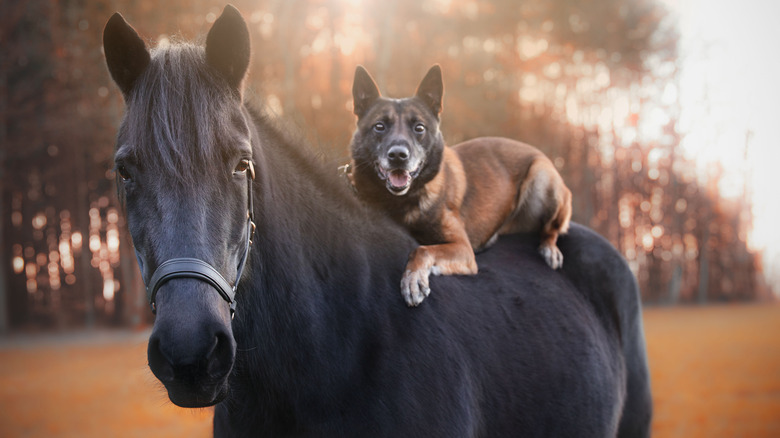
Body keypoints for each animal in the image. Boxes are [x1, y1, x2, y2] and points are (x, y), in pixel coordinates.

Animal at [348, 65, 572, 306]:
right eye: (379, 127)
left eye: (419, 128)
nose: (398, 155)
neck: (399, 201)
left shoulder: (463, 249)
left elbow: (422, 250)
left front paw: (413, 278)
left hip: (542, 176)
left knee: (551, 229)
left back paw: (549, 249)